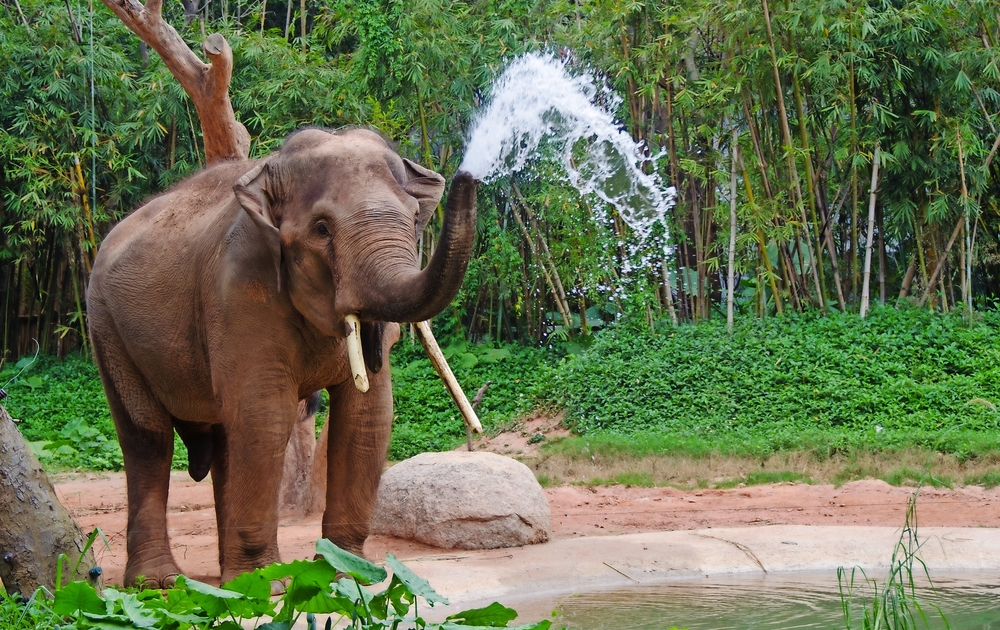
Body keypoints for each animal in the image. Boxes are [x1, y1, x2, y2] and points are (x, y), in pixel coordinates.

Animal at [86, 128, 478, 587]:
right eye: (322, 228)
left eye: (415, 218)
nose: (469, 176)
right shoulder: (239, 291)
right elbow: (265, 414)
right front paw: (264, 582)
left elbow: (368, 415)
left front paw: (347, 573)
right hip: (107, 328)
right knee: (148, 437)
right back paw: (161, 581)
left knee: (223, 439)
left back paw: (225, 577)